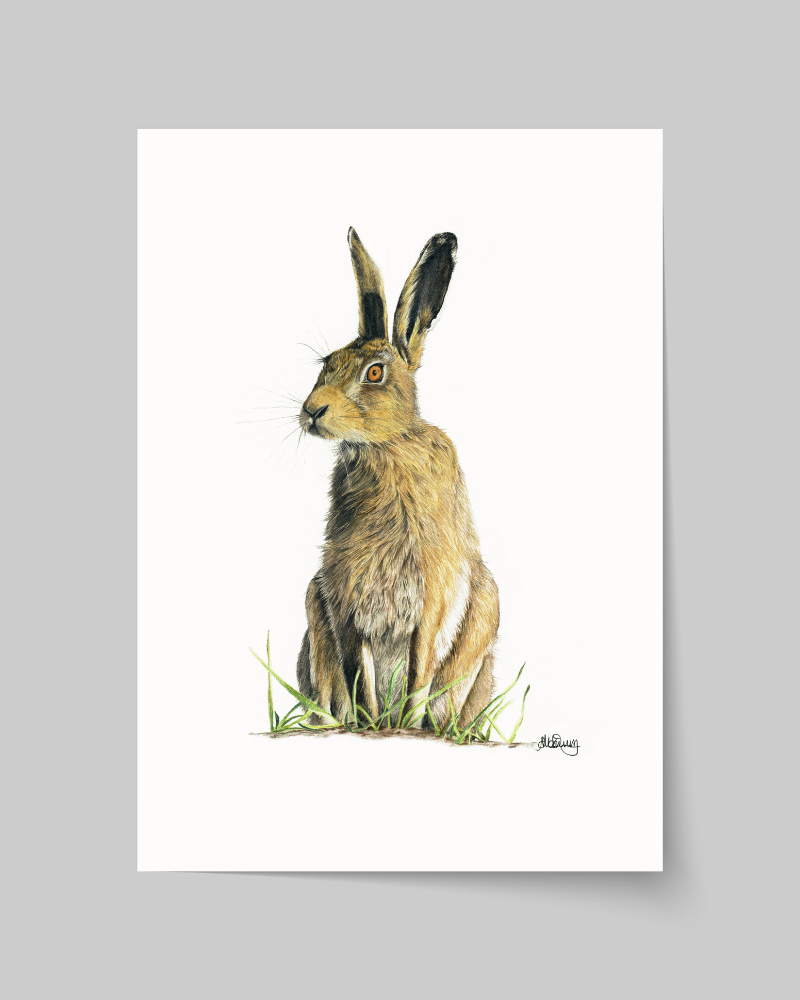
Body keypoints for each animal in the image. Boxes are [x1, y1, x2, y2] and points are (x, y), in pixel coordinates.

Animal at [296, 227, 499, 731]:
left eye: (374, 373)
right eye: (326, 363)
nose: (312, 411)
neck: (385, 446)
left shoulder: (431, 597)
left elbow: (419, 670)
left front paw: (402, 728)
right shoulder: (343, 597)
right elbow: (355, 672)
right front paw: (370, 726)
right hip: (313, 612)